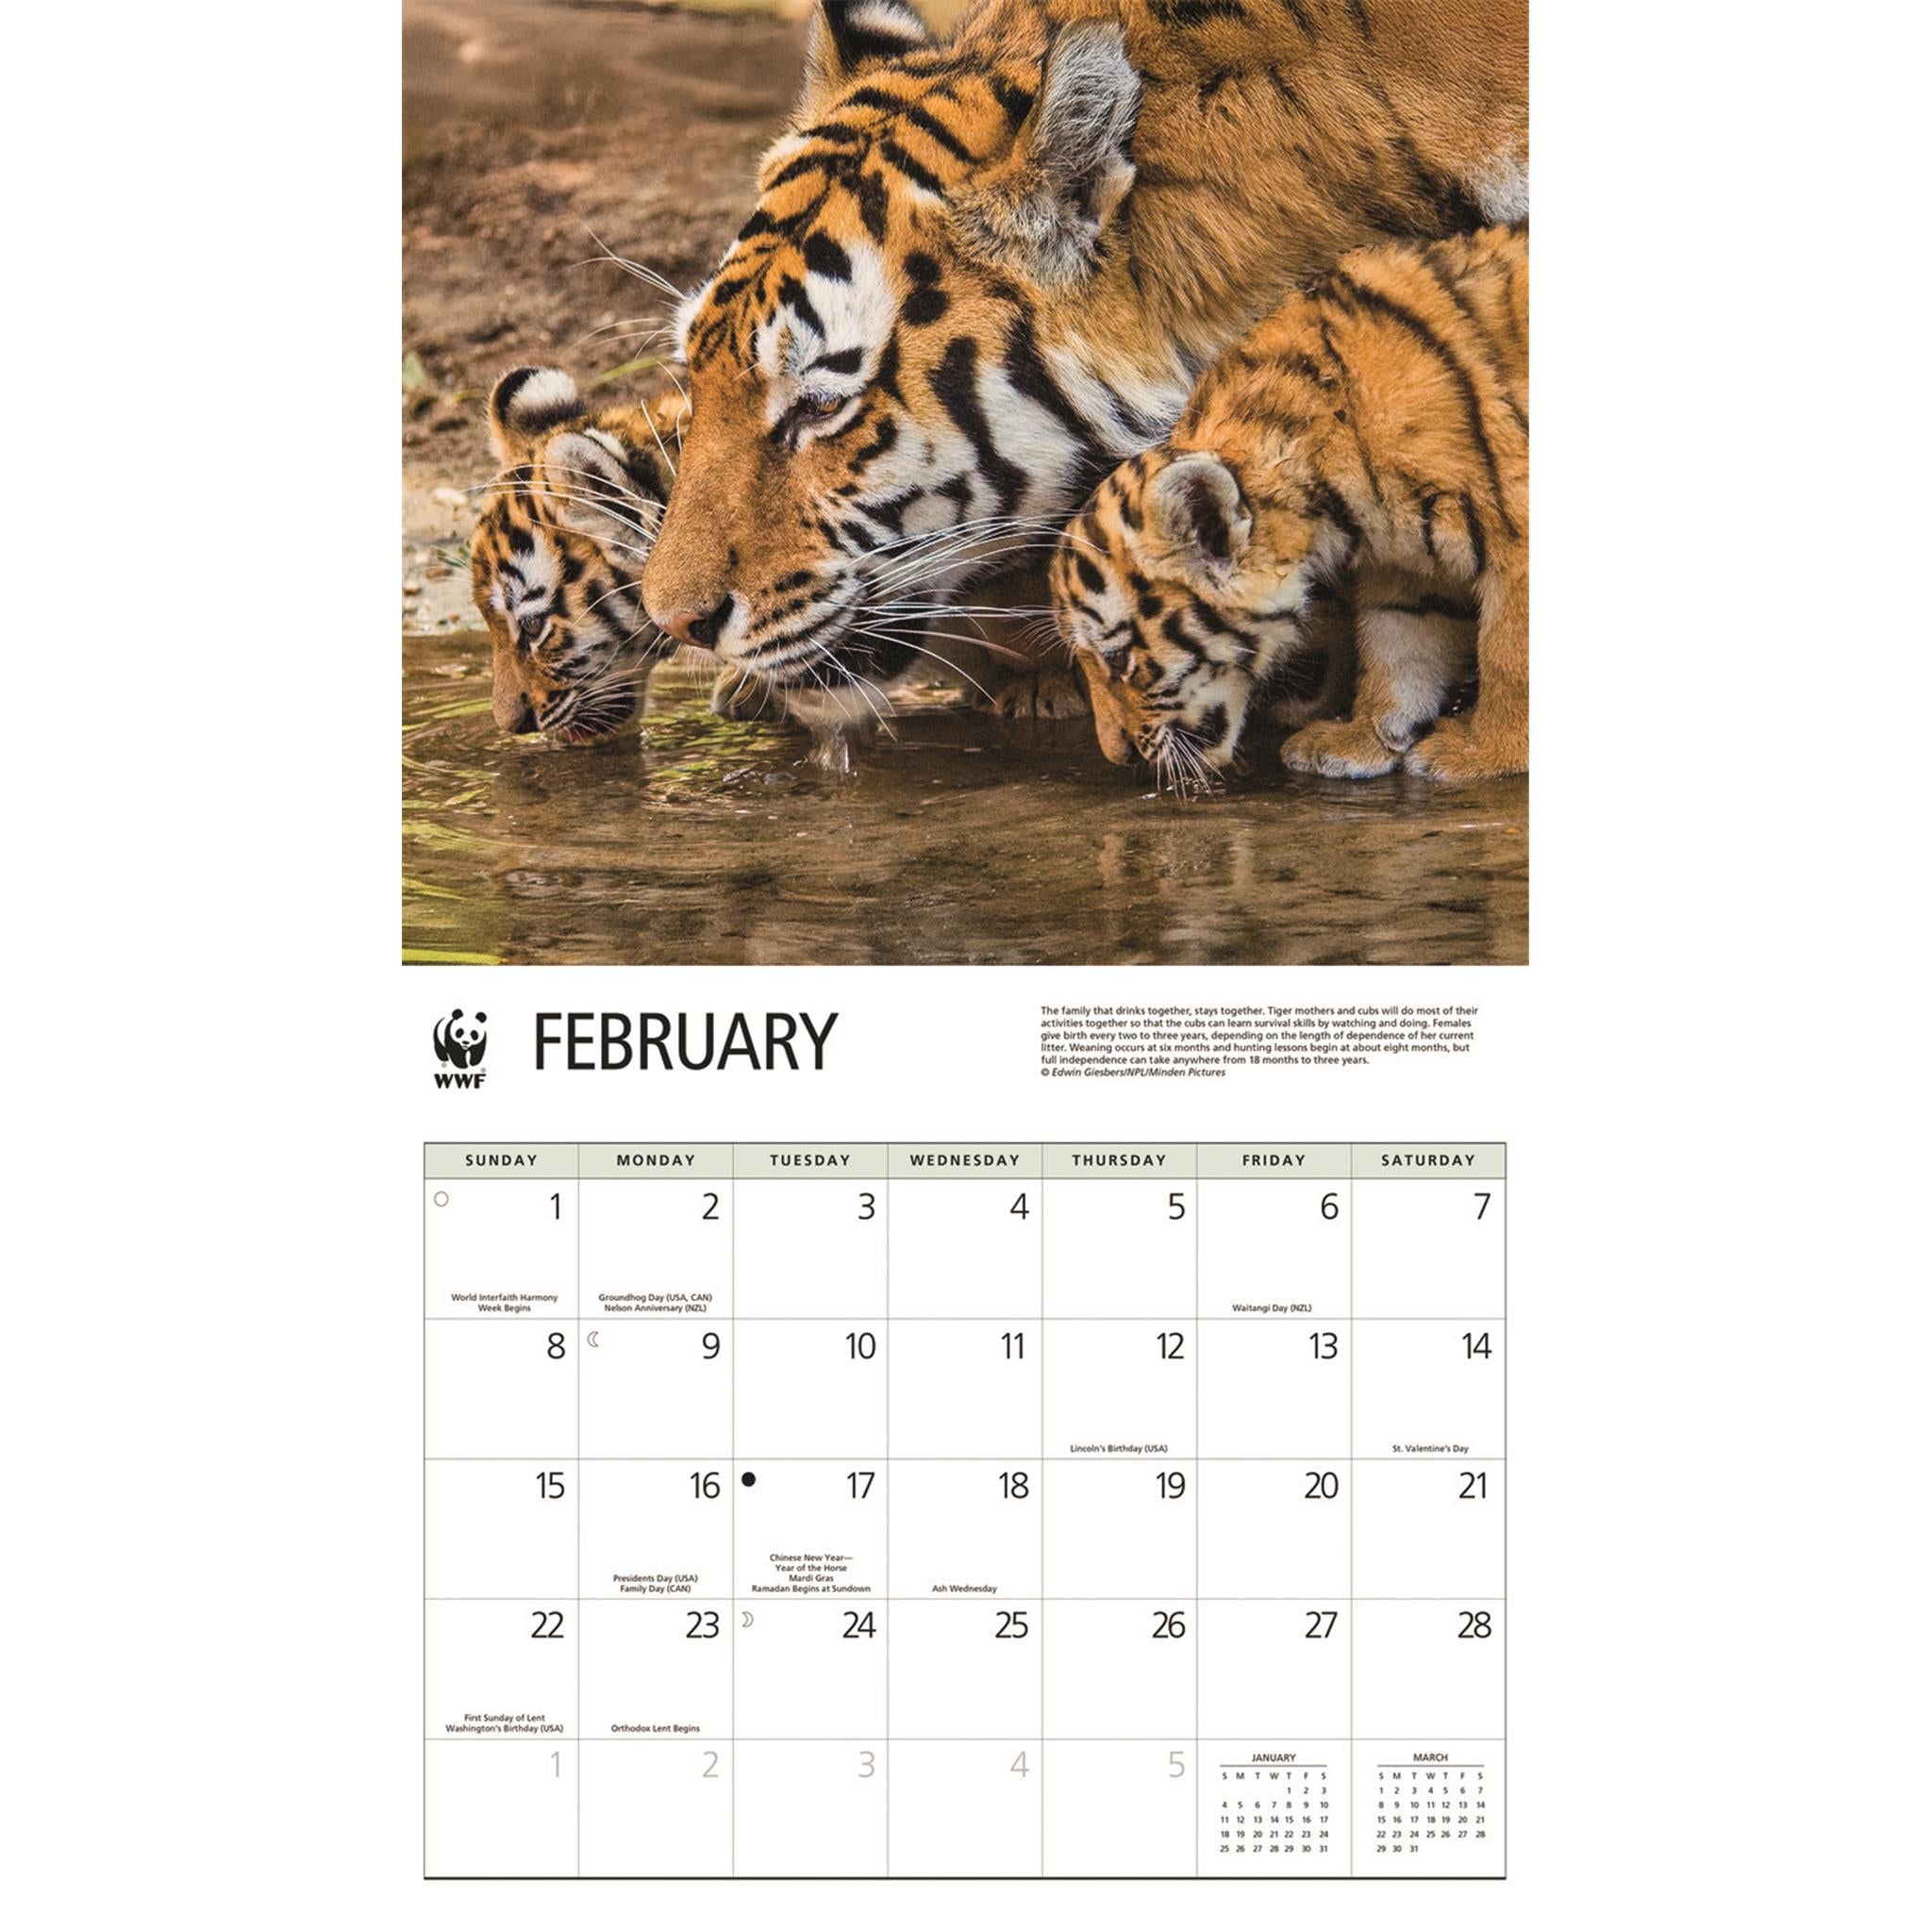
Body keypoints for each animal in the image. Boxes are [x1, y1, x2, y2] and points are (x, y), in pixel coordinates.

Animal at [1051, 223, 1525, 784]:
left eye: (1119, 659)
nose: (1116, 754)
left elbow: (1508, 659)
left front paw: (1485, 751)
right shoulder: (1404, 567)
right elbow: (1398, 648)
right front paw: (1361, 738)